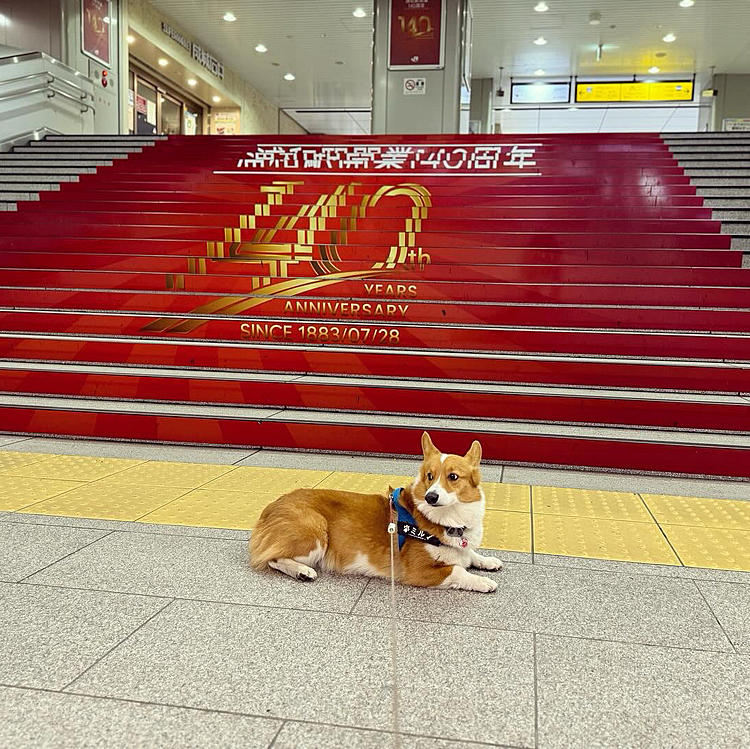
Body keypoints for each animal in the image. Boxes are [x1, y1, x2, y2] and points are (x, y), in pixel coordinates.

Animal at [250, 430, 502, 592]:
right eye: (430, 476)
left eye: (453, 477)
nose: (431, 497)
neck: (447, 520)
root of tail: (269, 508)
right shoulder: (419, 571)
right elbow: (458, 570)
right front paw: (482, 581)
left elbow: (470, 554)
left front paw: (487, 561)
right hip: (316, 532)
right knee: (272, 558)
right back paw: (303, 571)